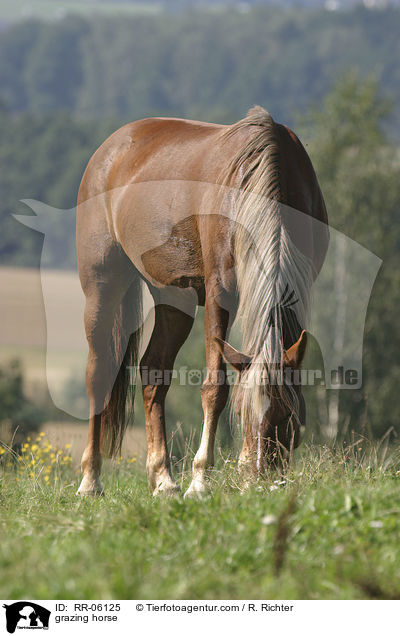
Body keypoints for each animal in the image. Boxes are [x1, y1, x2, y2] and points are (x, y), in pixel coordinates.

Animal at [76, 107, 330, 500]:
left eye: (289, 414)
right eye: (241, 414)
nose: (262, 477)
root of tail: (110, 149)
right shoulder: (219, 294)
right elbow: (215, 387)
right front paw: (200, 481)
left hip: (173, 299)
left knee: (153, 372)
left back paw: (163, 479)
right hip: (102, 286)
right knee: (99, 374)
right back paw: (90, 481)